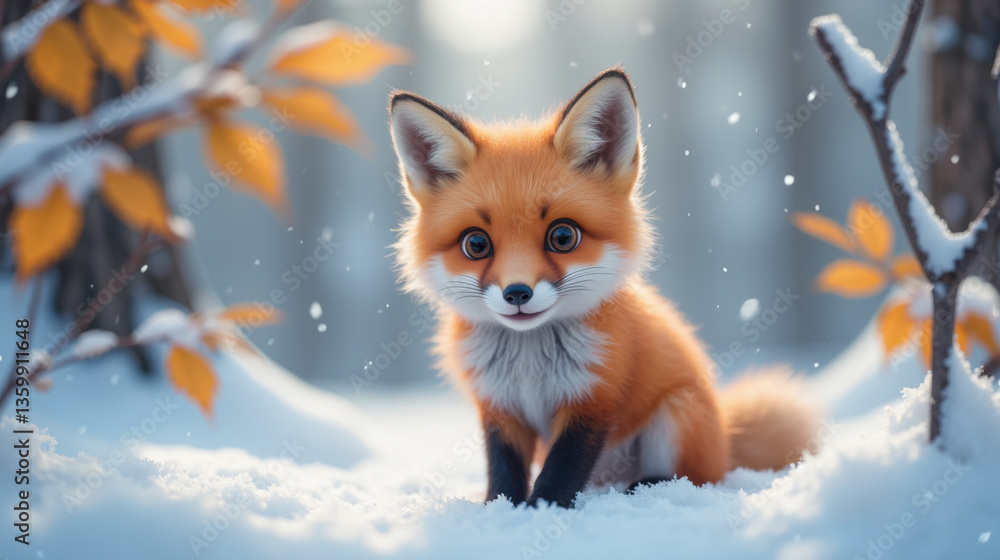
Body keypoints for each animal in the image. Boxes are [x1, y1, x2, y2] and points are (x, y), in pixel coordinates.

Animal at [387, 67, 819, 508]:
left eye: (563, 237)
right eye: (476, 244)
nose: (517, 293)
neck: (530, 361)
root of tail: (727, 437)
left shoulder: (595, 398)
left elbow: (563, 470)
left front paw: (541, 510)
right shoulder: (500, 407)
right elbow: (504, 471)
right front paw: (500, 510)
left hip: (676, 415)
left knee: (694, 479)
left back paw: (645, 488)